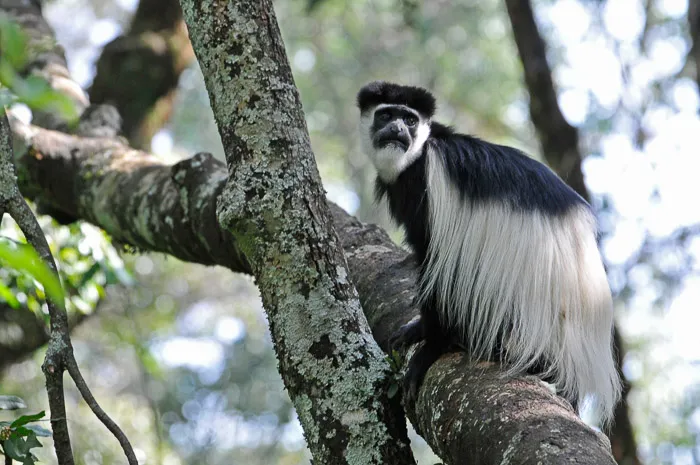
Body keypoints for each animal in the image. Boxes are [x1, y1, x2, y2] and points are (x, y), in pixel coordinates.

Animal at [357, 81, 621, 424]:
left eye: (410, 120)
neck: (417, 158)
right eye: (386, 114)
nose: (398, 129)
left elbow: (437, 264)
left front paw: (430, 344)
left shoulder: (432, 185)